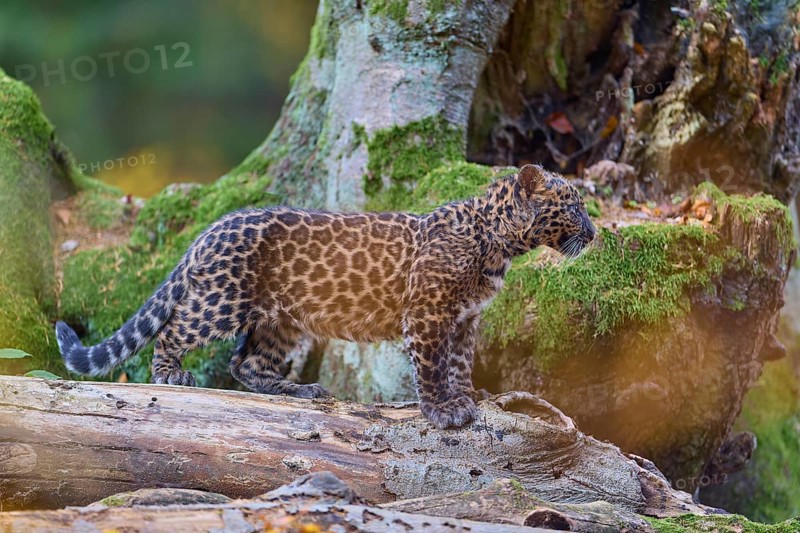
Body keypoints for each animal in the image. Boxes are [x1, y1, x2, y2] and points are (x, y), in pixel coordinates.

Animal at [56, 164, 596, 429]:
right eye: (572, 206)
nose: (593, 233)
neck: (497, 242)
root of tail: (210, 228)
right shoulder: (428, 314)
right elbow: (431, 366)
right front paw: (442, 410)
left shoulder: (465, 318)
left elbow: (460, 362)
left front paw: (466, 397)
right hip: (222, 300)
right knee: (175, 329)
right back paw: (173, 376)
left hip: (281, 320)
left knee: (245, 364)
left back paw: (298, 390)